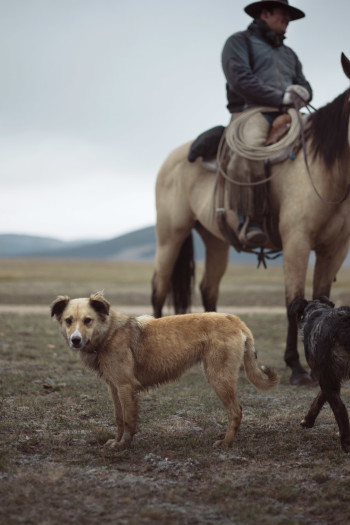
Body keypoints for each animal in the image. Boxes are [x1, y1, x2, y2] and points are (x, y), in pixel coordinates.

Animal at [50, 292, 278, 448]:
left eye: (88, 320)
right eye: (68, 321)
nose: (75, 340)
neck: (109, 333)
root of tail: (235, 320)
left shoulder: (125, 386)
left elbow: (128, 419)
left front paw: (123, 445)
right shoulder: (114, 388)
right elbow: (119, 418)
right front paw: (117, 441)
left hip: (218, 378)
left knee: (236, 411)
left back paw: (226, 443)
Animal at [152, 54, 350, 384]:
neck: (326, 170)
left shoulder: (334, 249)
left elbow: (321, 300)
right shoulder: (296, 242)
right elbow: (294, 303)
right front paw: (296, 368)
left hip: (215, 241)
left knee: (208, 287)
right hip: (170, 234)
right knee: (159, 286)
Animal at [288, 296, 350, 452]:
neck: (316, 311)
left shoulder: (325, 375)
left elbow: (320, 398)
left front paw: (307, 421)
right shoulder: (331, 376)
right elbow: (321, 397)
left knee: (340, 409)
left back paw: (346, 443)